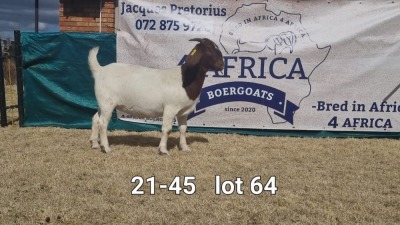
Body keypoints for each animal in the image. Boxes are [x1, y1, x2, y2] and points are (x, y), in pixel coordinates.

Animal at [88, 38, 225, 155]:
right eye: (209, 49)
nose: (222, 65)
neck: (184, 79)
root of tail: (100, 70)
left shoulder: (183, 112)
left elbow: (183, 129)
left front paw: (184, 147)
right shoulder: (170, 108)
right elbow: (167, 129)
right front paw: (163, 150)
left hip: (102, 103)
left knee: (95, 119)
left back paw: (95, 144)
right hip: (108, 103)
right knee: (103, 123)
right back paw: (106, 148)